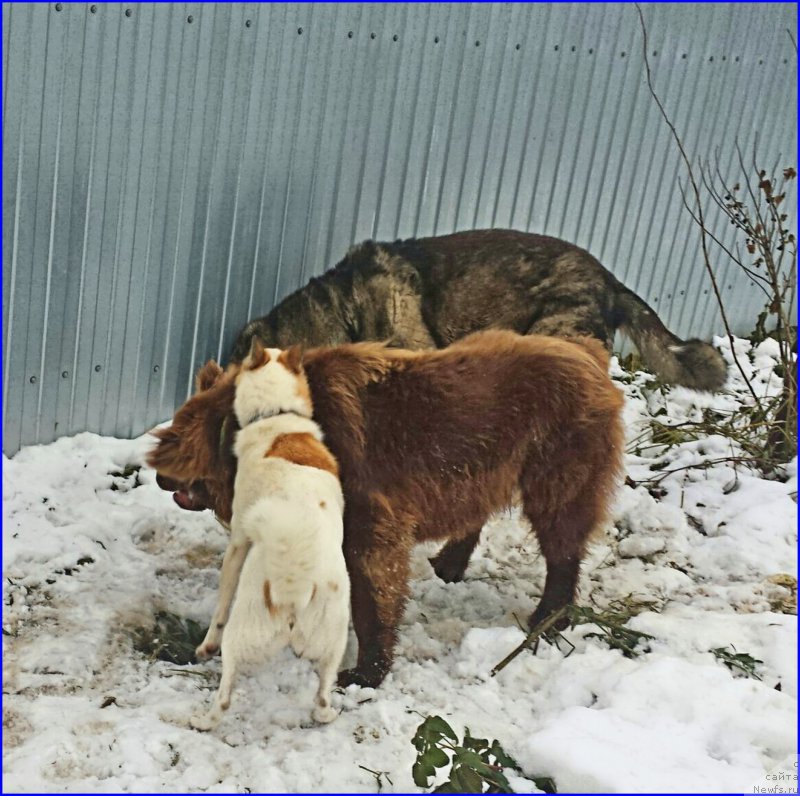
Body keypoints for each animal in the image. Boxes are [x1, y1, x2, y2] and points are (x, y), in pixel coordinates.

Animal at [150, 332, 624, 688]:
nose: (160, 480)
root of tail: (592, 355)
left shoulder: (368, 517)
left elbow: (374, 592)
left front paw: (364, 672)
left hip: (557, 467)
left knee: (562, 541)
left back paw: (547, 618)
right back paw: (447, 564)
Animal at [192, 338, 348, 732]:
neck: (276, 416)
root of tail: (296, 584)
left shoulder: (237, 541)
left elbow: (220, 602)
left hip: (241, 632)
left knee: (225, 693)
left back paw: (204, 719)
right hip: (334, 641)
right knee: (323, 695)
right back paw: (326, 713)